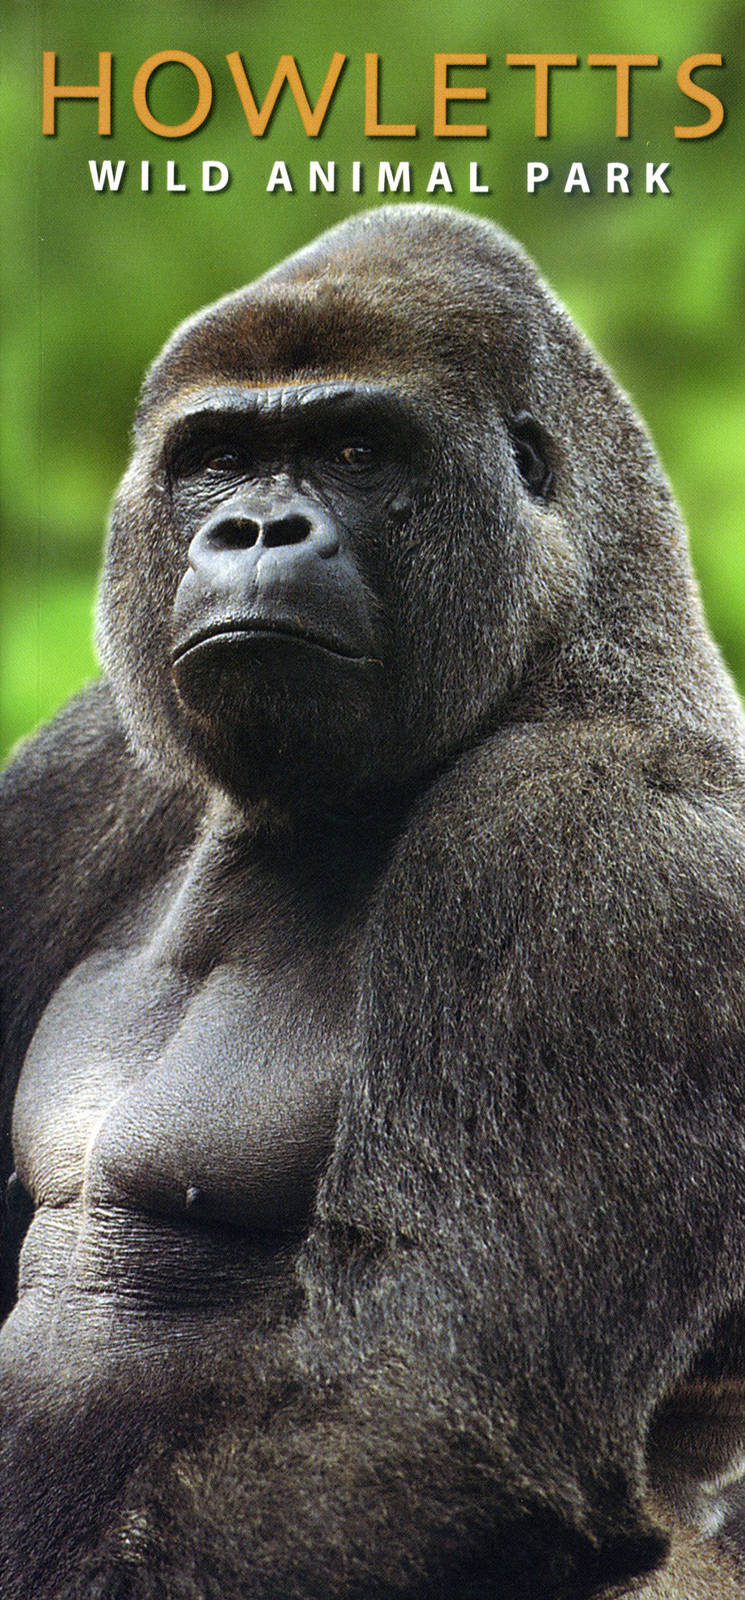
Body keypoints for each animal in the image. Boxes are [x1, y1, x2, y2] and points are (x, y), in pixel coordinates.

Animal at [1, 203, 745, 1599]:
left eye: (353, 448)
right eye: (220, 457)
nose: (253, 534)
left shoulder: (593, 845)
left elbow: (419, 1413)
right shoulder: (82, 765)